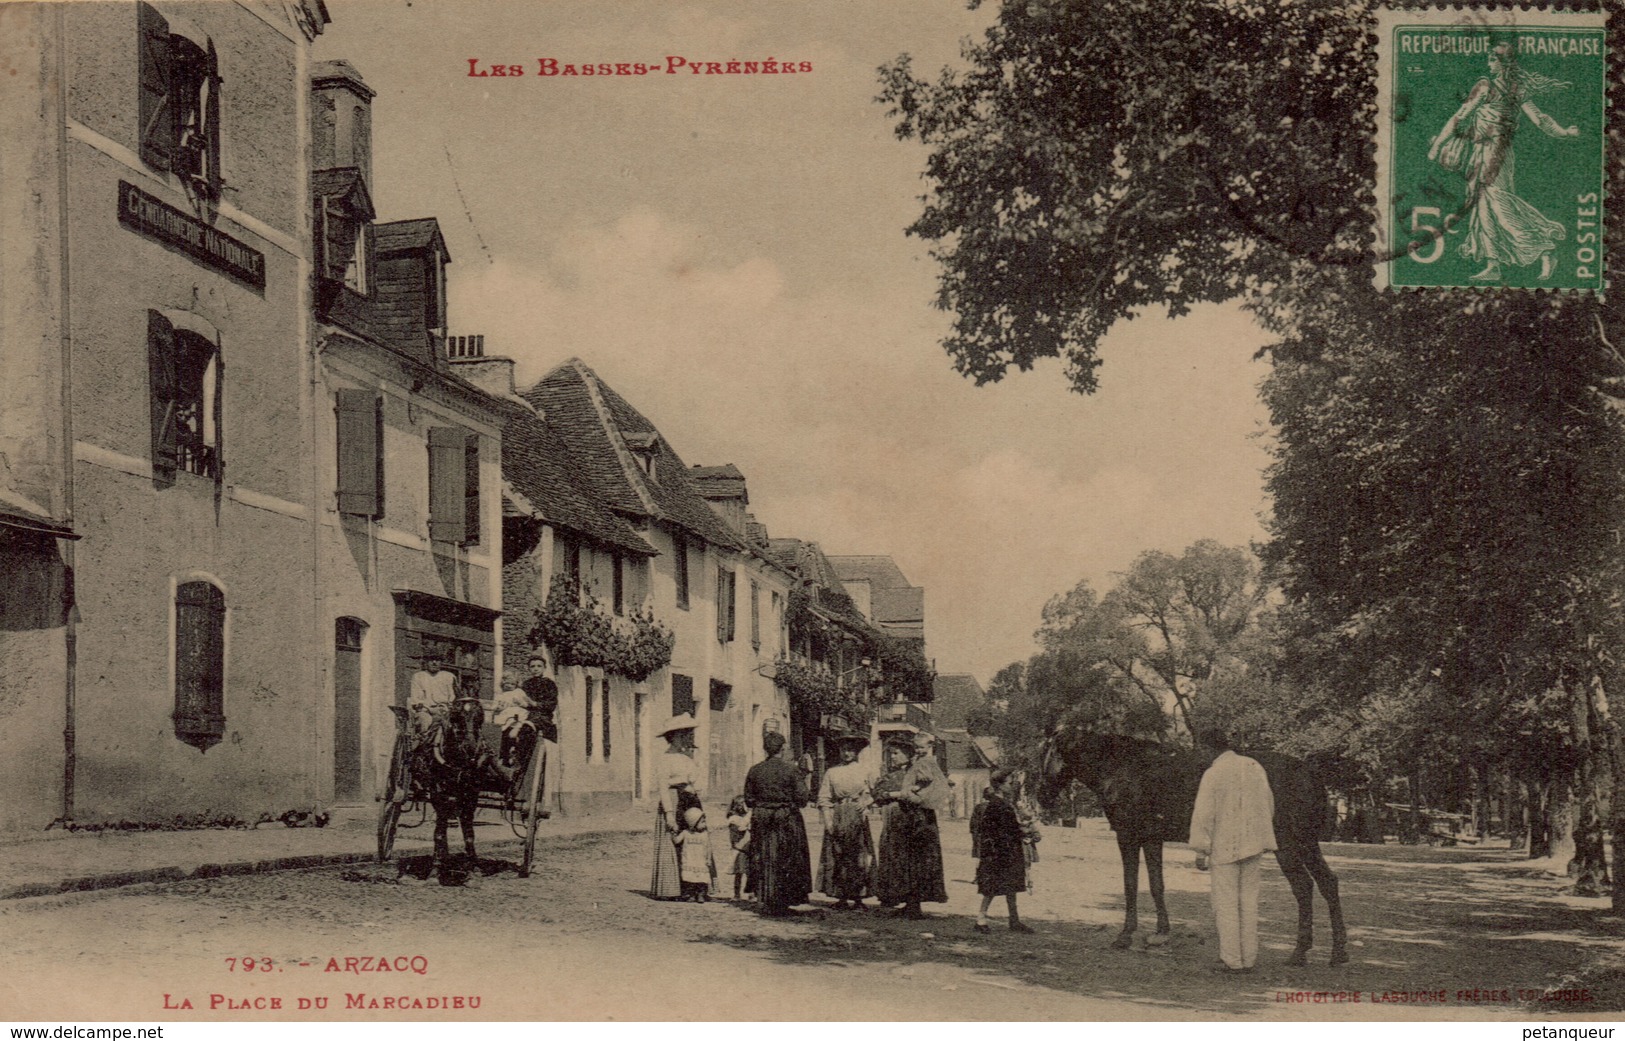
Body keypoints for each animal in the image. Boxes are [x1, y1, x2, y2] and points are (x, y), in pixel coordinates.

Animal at [1046, 727, 1352, 961]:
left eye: (1047, 753)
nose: (1044, 795)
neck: (1123, 766)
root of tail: (1311, 773)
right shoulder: (1151, 838)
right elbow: (1156, 885)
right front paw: (1161, 933)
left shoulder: (1128, 836)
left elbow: (1130, 885)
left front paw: (1125, 936)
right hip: (1307, 844)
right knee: (1327, 883)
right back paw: (1337, 952)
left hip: (1289, 846)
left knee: (1304, 887)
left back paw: (1300, 952)